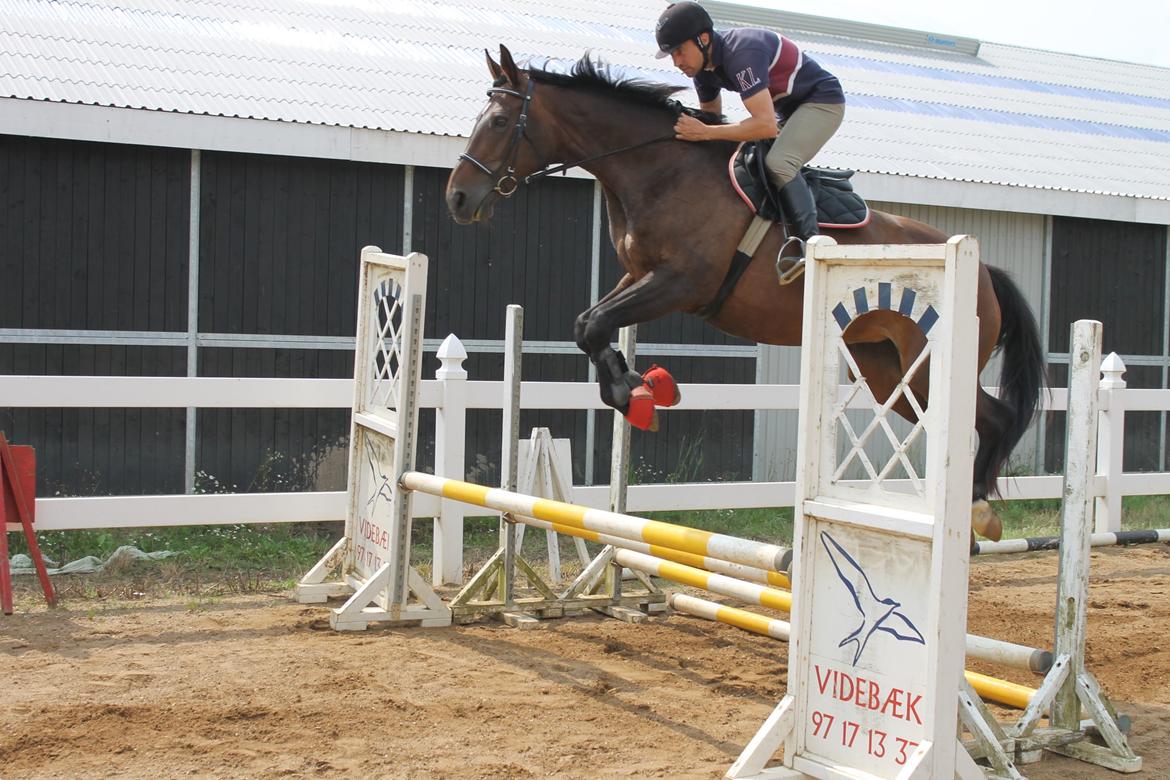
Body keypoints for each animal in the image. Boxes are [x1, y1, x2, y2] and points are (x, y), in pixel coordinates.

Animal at [444, 45, 1043, 540]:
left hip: (926, 363)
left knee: (995, 419)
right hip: (885, 370)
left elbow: (594, 324)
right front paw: (641, 388)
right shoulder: (638, 277)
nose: (457, 199)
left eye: (499, 121)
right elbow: (587, 324)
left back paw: (979, 512)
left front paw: (632, 393)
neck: (658, 169)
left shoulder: (681, 284)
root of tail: (984, 269)